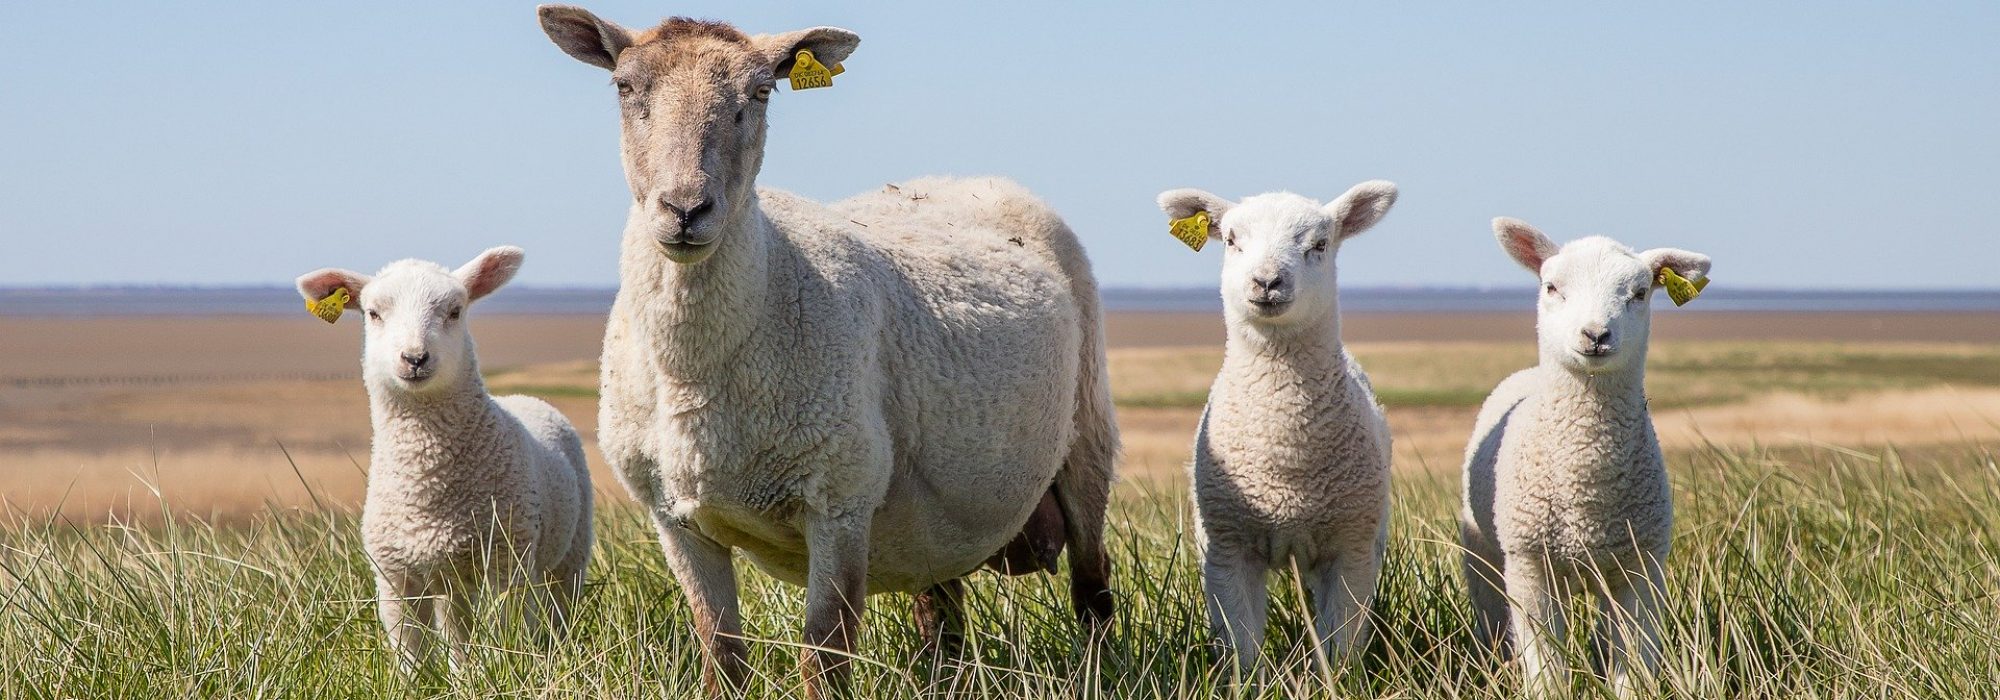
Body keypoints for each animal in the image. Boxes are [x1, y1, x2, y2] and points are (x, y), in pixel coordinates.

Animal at [295, 246, 594, 671]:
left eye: (455, 311)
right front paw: (417, 680)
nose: (414, 357)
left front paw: (505, 671)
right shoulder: (394, 576)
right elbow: (408, 651)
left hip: (567, 554)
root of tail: (523, 396)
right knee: (457, 630)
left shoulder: (505, 562)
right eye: (373, 313)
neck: (428, 485)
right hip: (450, 577)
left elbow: (506, 632)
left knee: (556, 610)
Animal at [536, 7, 1118, 697]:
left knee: (1093, 591)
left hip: (1087, 435)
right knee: (942, 615)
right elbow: (720, 654)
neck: (697, 373)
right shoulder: (674, 517)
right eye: (626, 88)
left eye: (761, 93)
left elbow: (825, 655)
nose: (685, 209)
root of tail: (967, 179)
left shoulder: (840, 500)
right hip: (934, 520)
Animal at [1155, 182, 1399, 673]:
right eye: (1231, 240)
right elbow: (1241, 645)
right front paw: (1247, 680)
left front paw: (1337, 680)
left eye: (1320, 244)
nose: (1267, 282)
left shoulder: (1351, 547)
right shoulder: (1226, 548)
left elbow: (1341, 645)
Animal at [1458, 218, 1711, 697]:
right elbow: (1544, 666)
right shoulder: (1529, 567)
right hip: (1484, 555)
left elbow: (1633, 661)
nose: (1595, 335)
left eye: (1640, 292)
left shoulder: (1641, 568)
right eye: (1552, 287)